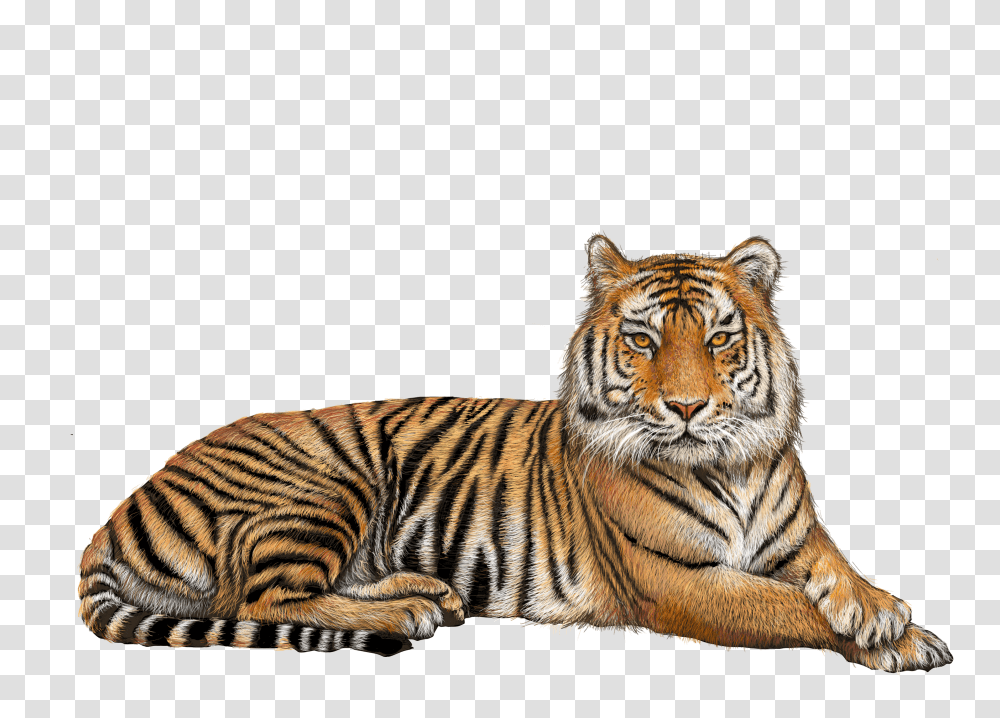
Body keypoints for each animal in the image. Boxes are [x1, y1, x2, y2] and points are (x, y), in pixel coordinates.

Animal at [78, 236, 953, 672]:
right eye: (643, 341)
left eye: (717, 339)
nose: (687, 407)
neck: (731, 464)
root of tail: (120, 510)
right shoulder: (680, 581)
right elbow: (787, 606)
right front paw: (892, 638)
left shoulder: (797, 538)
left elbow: (834, 569)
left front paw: (887, 614)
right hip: (323, 484)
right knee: (263, 599)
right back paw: (405, 611)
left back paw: (428, 592)